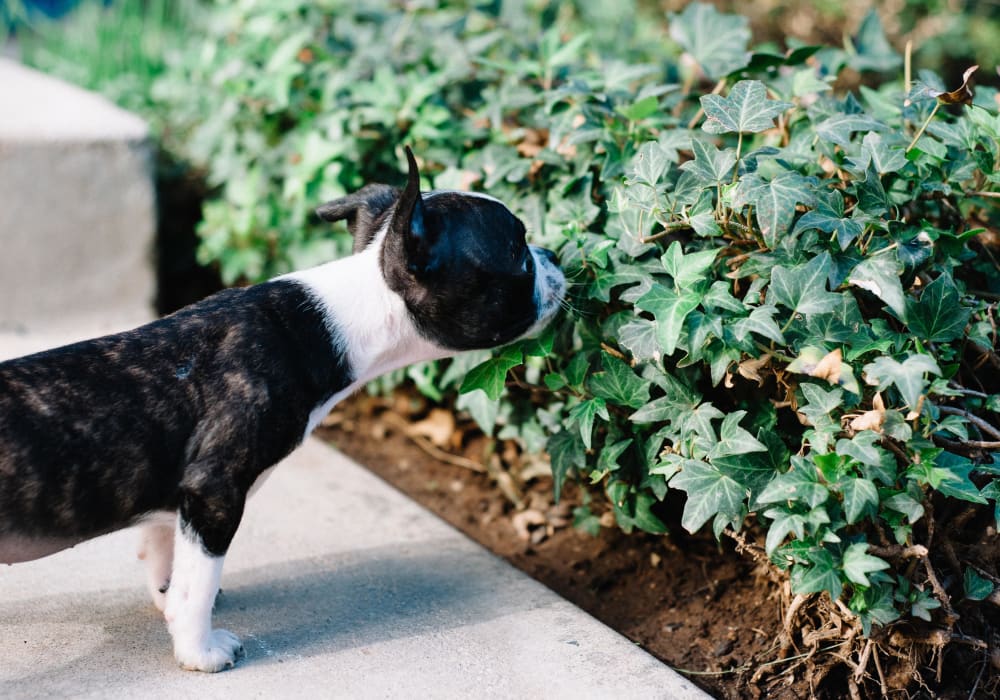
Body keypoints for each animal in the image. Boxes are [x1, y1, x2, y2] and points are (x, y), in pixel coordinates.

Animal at [0, 148, 568, 672]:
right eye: (519, 254)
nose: (555, 254)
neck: (345, 314)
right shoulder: (213, 490)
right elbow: (197, 583)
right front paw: (199, 649)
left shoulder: (176, 495)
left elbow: (168, 555)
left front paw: (167, 600)